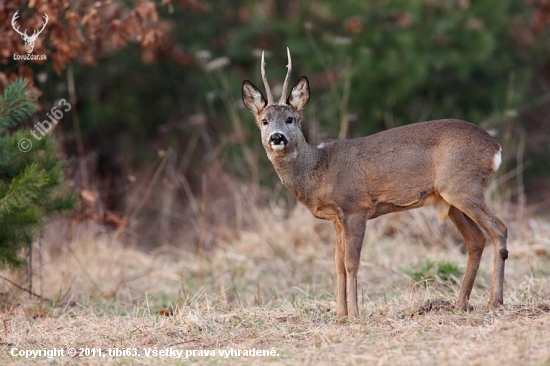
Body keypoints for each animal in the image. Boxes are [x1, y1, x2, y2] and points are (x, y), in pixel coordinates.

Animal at [244, 48, 512, 318]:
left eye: (290, 119)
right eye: (265, 121)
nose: (277, 137)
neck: (321, 170)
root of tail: (496, 147)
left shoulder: (356, 208)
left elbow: (351, 263)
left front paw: (354, 313)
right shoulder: (336, 218)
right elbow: (338, 263)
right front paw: (340, 314)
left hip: (463, 187)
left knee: (499, 228)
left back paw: (494, 301)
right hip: (450, 198)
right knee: (476, 240)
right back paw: (460, 304)